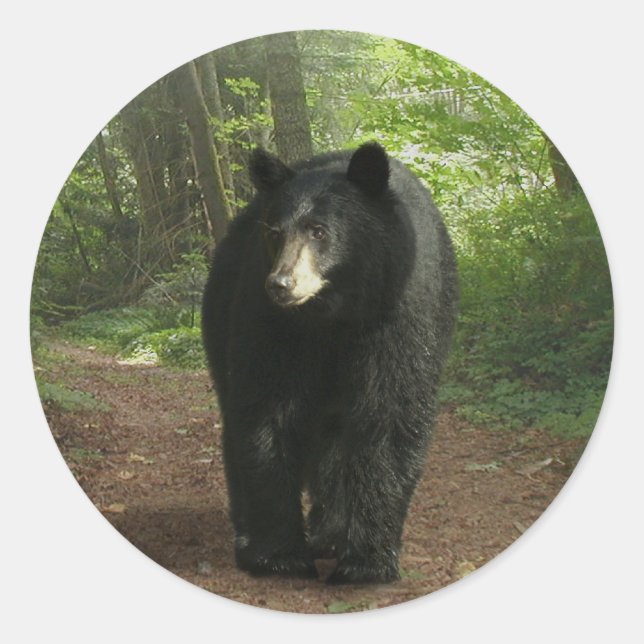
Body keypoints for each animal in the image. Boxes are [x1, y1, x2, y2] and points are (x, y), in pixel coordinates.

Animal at [201, 142, 458, 584]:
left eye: (318, 231)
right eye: (275, 233)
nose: (281, 284)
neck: (333, 314)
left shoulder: (397, 314)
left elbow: (388, 414)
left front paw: (366, 561)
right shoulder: (271, 323)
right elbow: (266, 410)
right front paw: (279, 555)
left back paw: (331, 534)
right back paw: (253, 536)